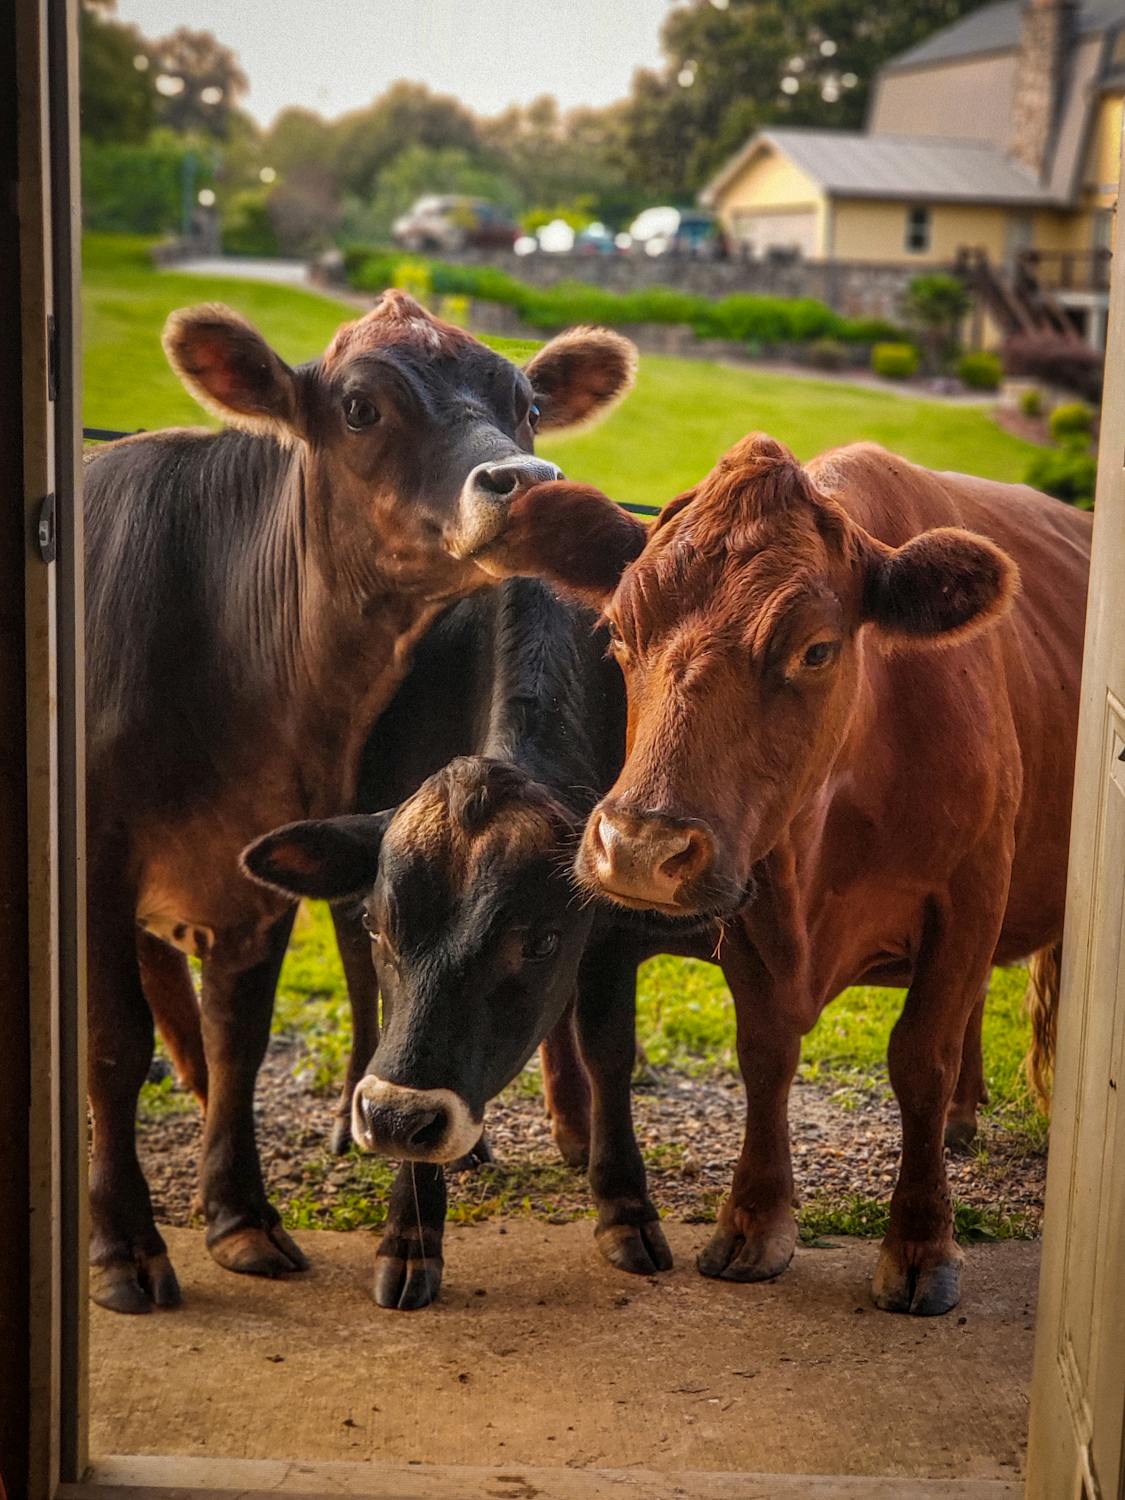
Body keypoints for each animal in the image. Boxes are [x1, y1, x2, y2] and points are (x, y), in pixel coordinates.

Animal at [87, 295, 636, 1314]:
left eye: (528, 404)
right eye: (359, 407)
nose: (530, 484)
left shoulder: (253, 870)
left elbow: (240, 1037)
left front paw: (240, 1217)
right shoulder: (94, 859)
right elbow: (110, 1044)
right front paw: (126, 1247)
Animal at [477, 435, 1092, 1314]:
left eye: (816, 649)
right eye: (618, 634)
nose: (637, 849)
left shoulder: (969, 893)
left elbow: (920, 1057)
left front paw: (919, 1243)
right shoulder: (750, 894)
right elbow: (765, 1053)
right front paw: (752, 1222)